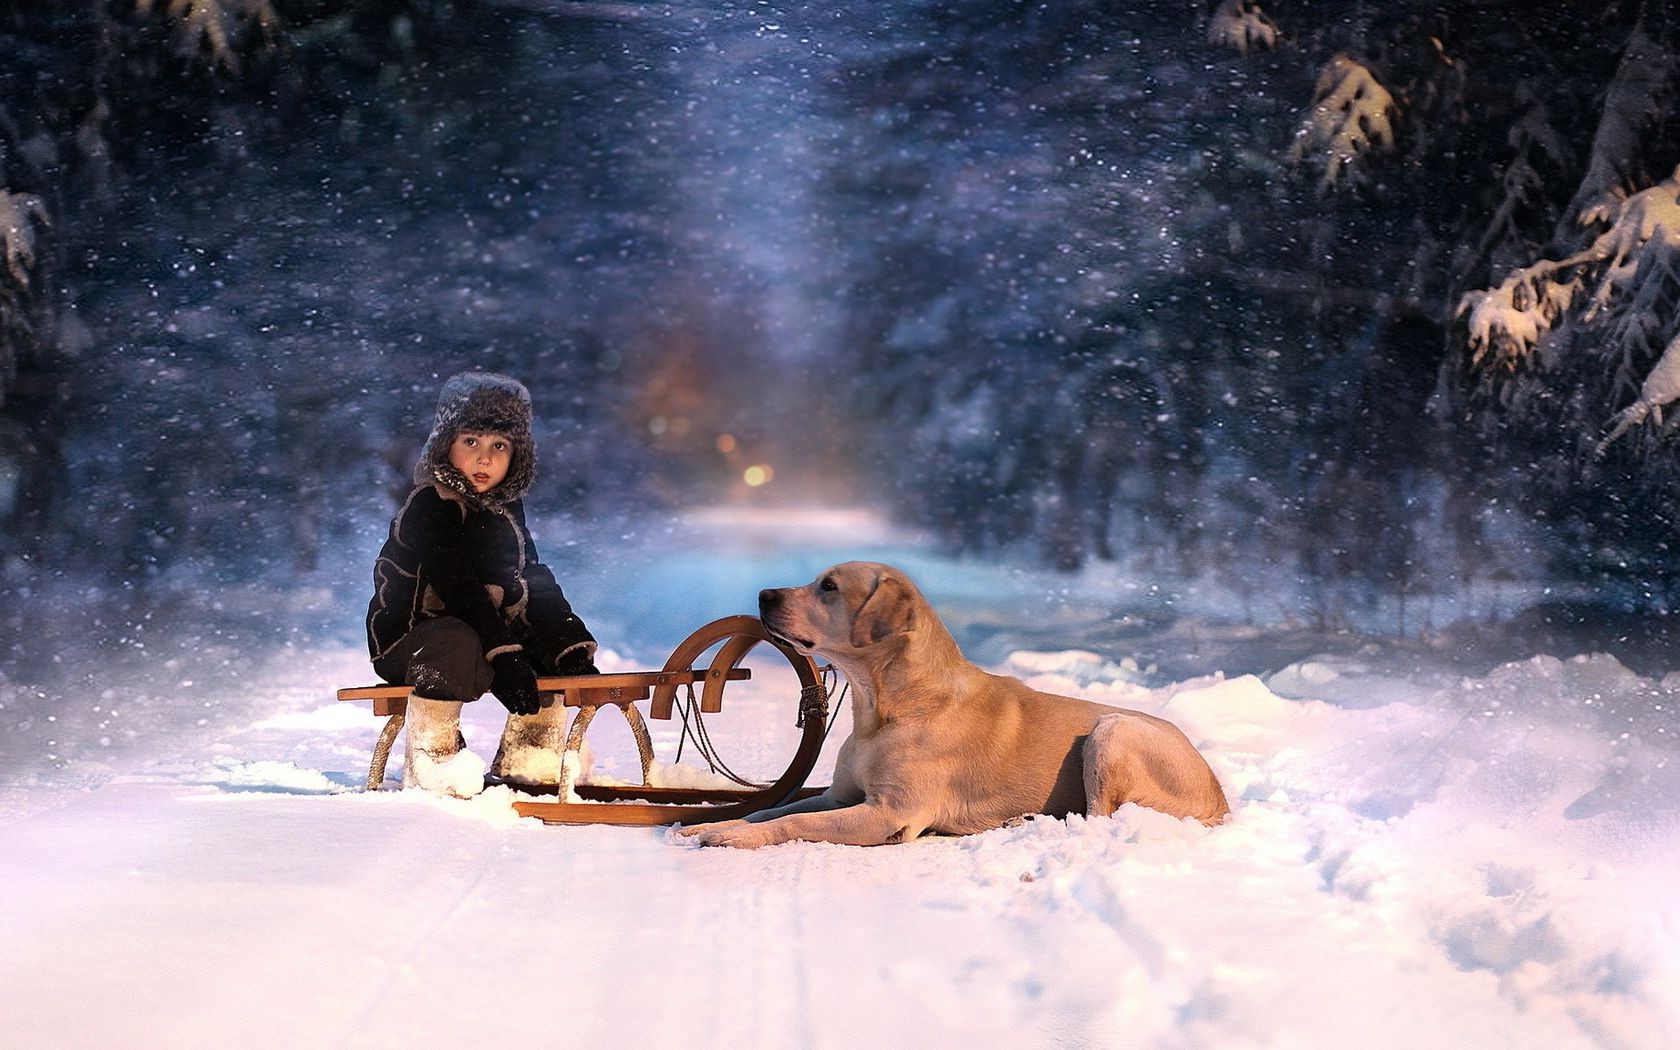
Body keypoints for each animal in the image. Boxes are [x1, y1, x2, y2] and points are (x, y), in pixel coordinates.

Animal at [675, 561, 1229, 846]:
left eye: (828, 586)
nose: (764, 594)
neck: (885, 708)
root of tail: (1220, 801)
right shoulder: (838, 797)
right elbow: (776, 810)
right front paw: (720, 823)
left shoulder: (888, 815)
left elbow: (794, 822)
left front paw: (733, 837)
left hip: (1112, 732)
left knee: (1097, 821)